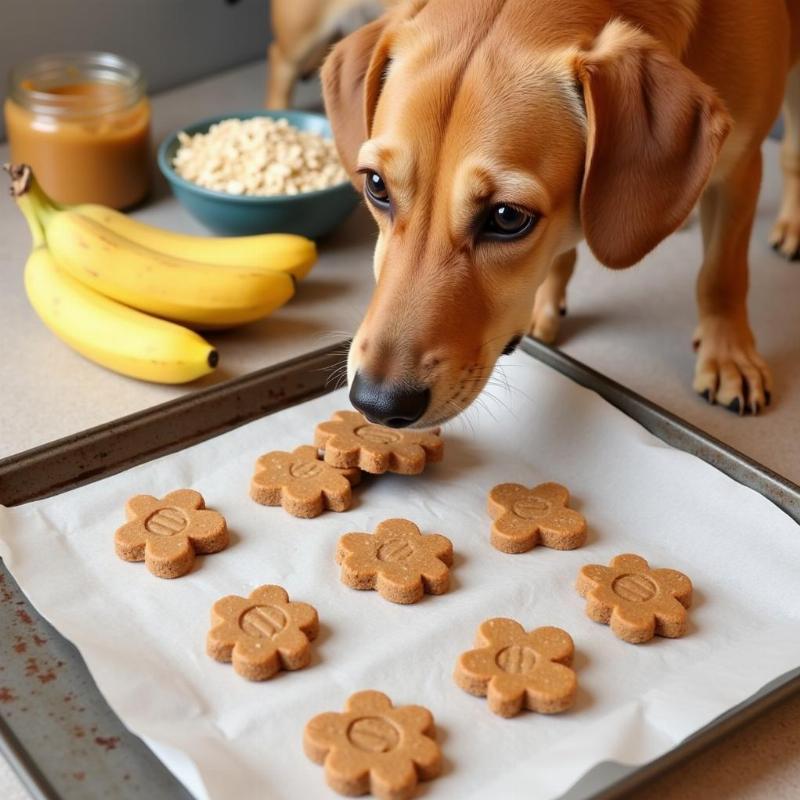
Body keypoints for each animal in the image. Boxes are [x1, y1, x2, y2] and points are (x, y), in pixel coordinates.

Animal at [322, 0, 800, 424]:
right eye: (376, 185)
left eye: (507, 216)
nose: (376, 404)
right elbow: (561, 253)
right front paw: (545, 304)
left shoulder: (740, 168)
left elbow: (721, 275)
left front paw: (728, 355)